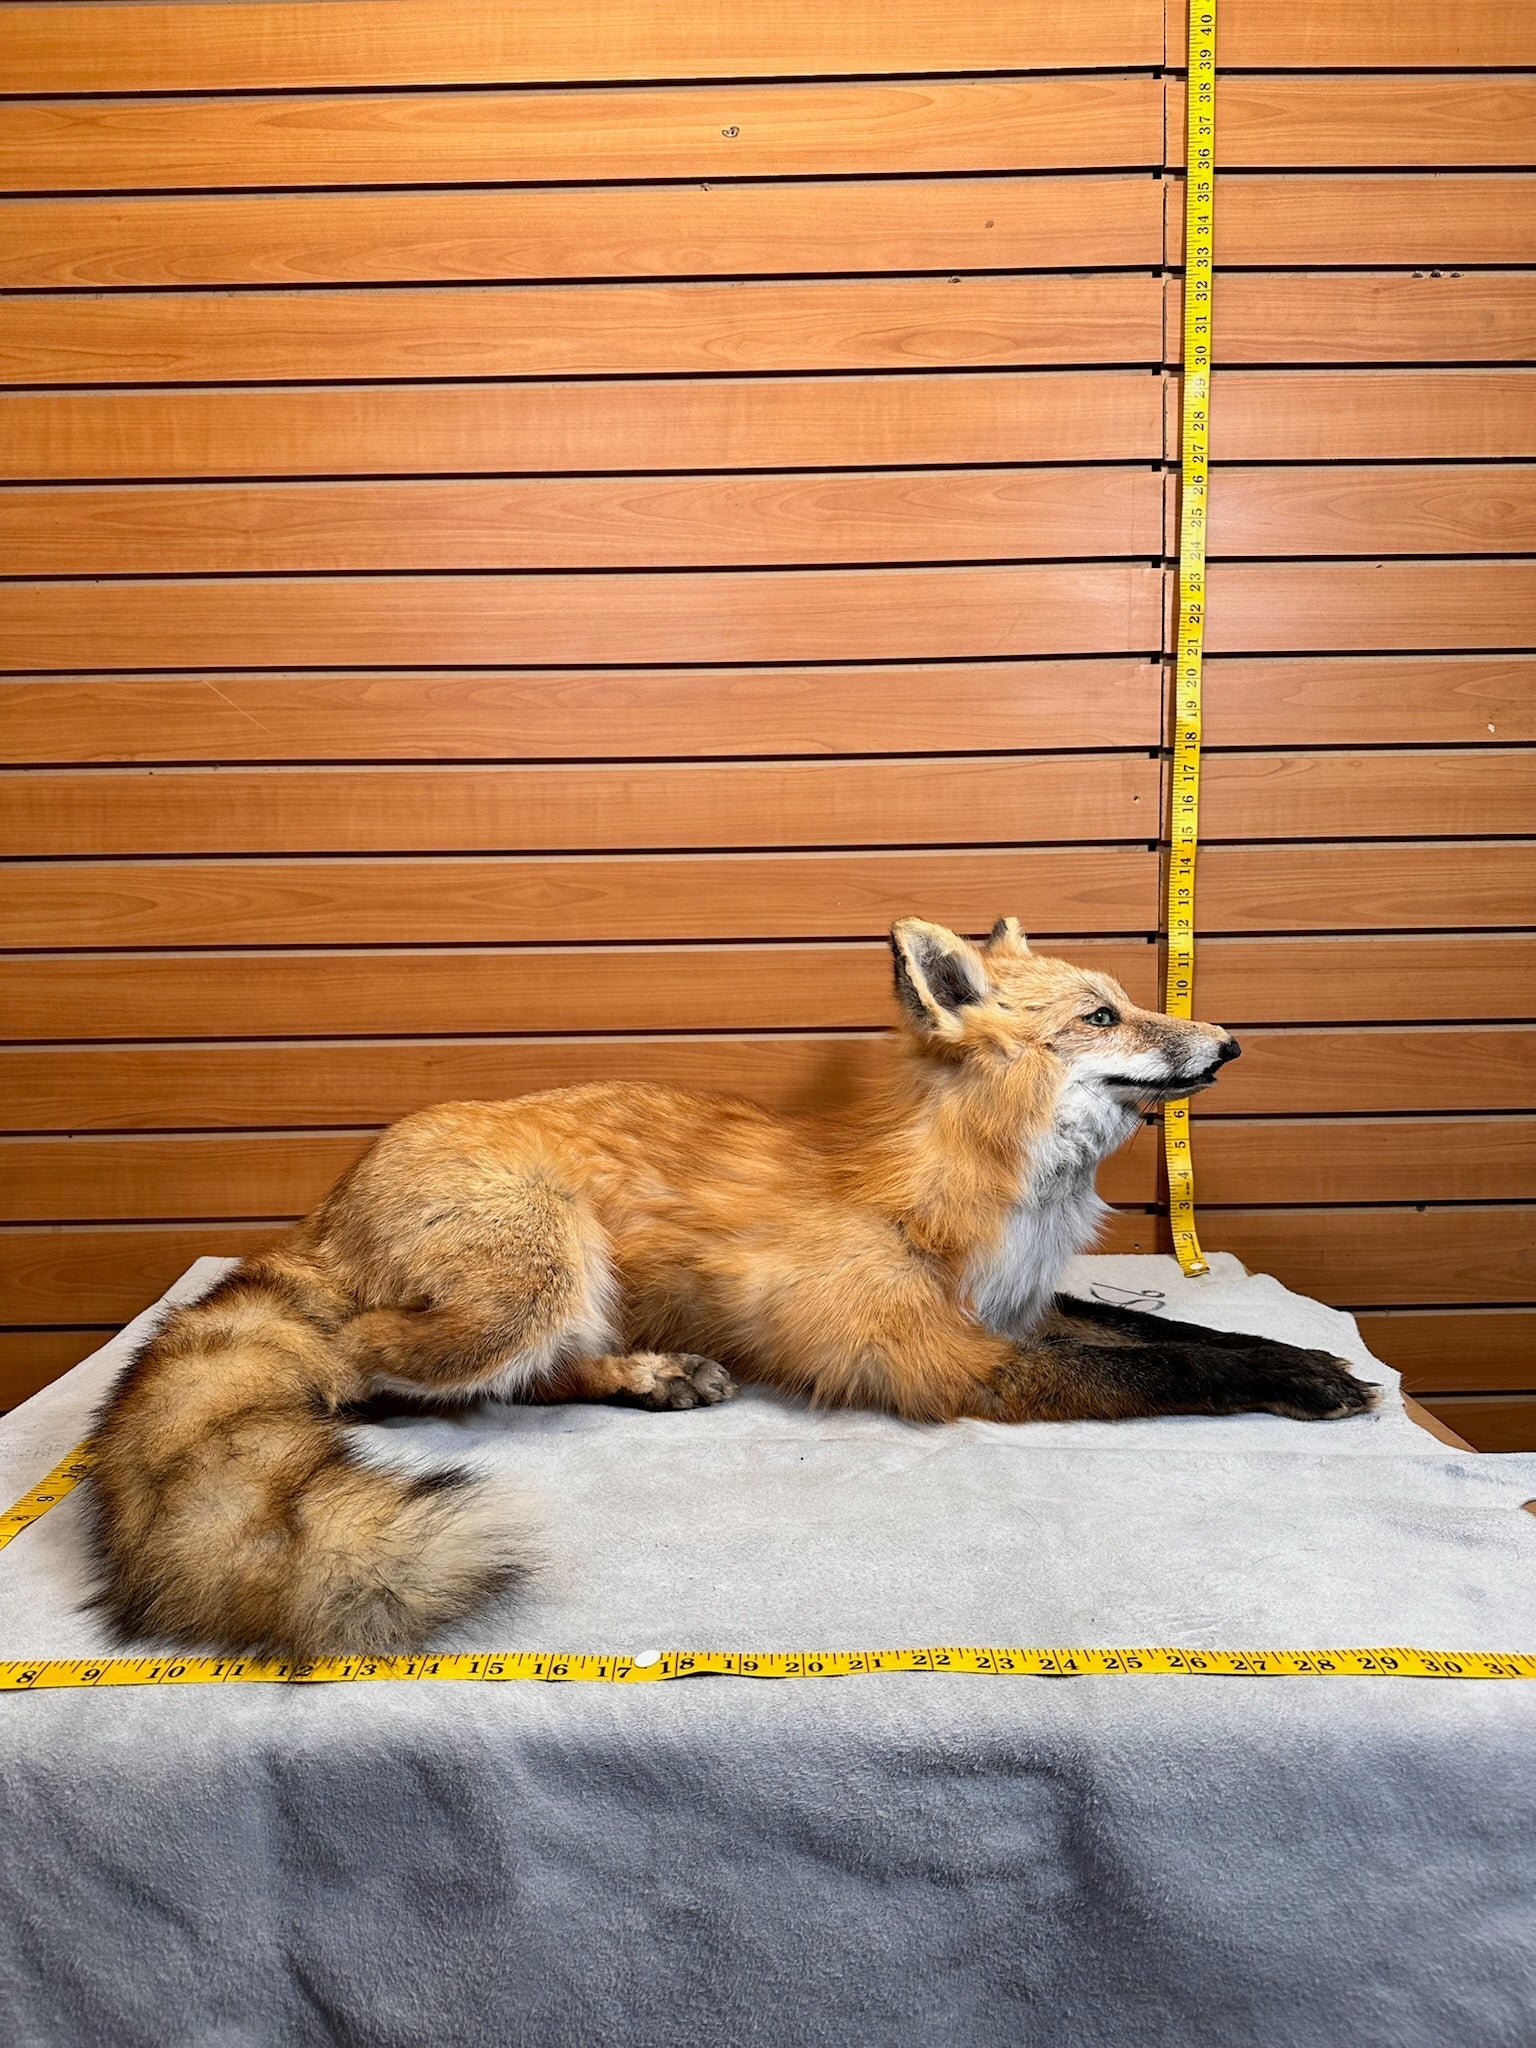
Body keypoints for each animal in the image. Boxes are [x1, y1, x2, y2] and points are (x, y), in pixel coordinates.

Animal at [90, 915, 1378, 1658]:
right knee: (370, 1373)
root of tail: (326, 1207)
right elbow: (1173, 1363)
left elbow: (1184, 1330)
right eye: (1104, 1014)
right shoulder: (954, 1358)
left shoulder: (1014, 1306)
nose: (1232, 1041)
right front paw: (1314, 1384)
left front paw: (1310, 1360)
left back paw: (652, 1375)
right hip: (529, 1280)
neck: (969, 1194)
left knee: (522, 1377)